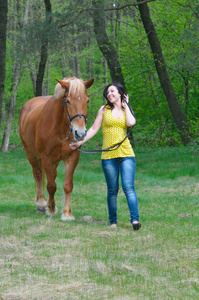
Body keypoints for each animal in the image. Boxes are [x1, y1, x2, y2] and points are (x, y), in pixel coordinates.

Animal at [19, 77, 94, 220]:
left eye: (87, 101)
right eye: (68, 101)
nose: (80, 134)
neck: (60, 127)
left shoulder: (72, 156)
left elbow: (67, 185)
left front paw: (66, 213)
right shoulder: (46, 157)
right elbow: (51, 186)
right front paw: (51, 209)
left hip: (55, 160)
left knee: (51, 175)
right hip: (31, 154)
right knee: (38, 175)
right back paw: (41, 204)